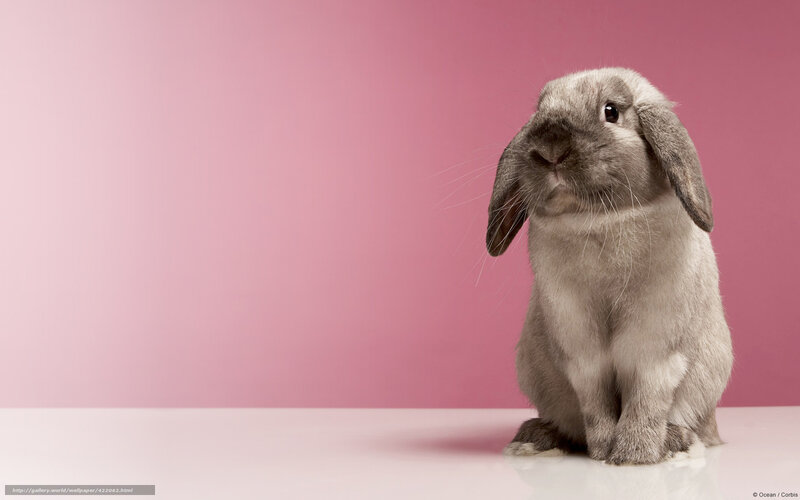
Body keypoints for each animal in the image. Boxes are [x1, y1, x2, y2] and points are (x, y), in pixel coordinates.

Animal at [487, 68, 732, 465]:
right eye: (540, 110)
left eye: (611, 111)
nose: (550, 148)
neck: (599, 221)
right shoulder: (581, 351)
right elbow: (595, 402)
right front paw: (602, 451)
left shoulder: (656, 348)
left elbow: (646, 398)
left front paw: (635, 455)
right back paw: (535, 438)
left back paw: (675, 442)